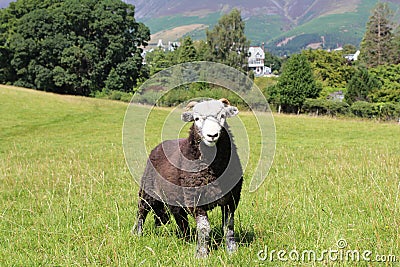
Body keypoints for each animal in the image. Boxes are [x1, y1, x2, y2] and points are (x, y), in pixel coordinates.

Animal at [133, 99, 242, 258]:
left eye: (222, 116)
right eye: (196, 119)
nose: (212, 135)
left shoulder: (231, 199)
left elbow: (229, 227)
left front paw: (232, 251)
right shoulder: (195, 200)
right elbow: (204, 228)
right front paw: (202, 254)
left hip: (174, 195)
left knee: (179, 217)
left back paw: (186, 237)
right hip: (148, 189)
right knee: (141, 210)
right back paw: (137, 233)